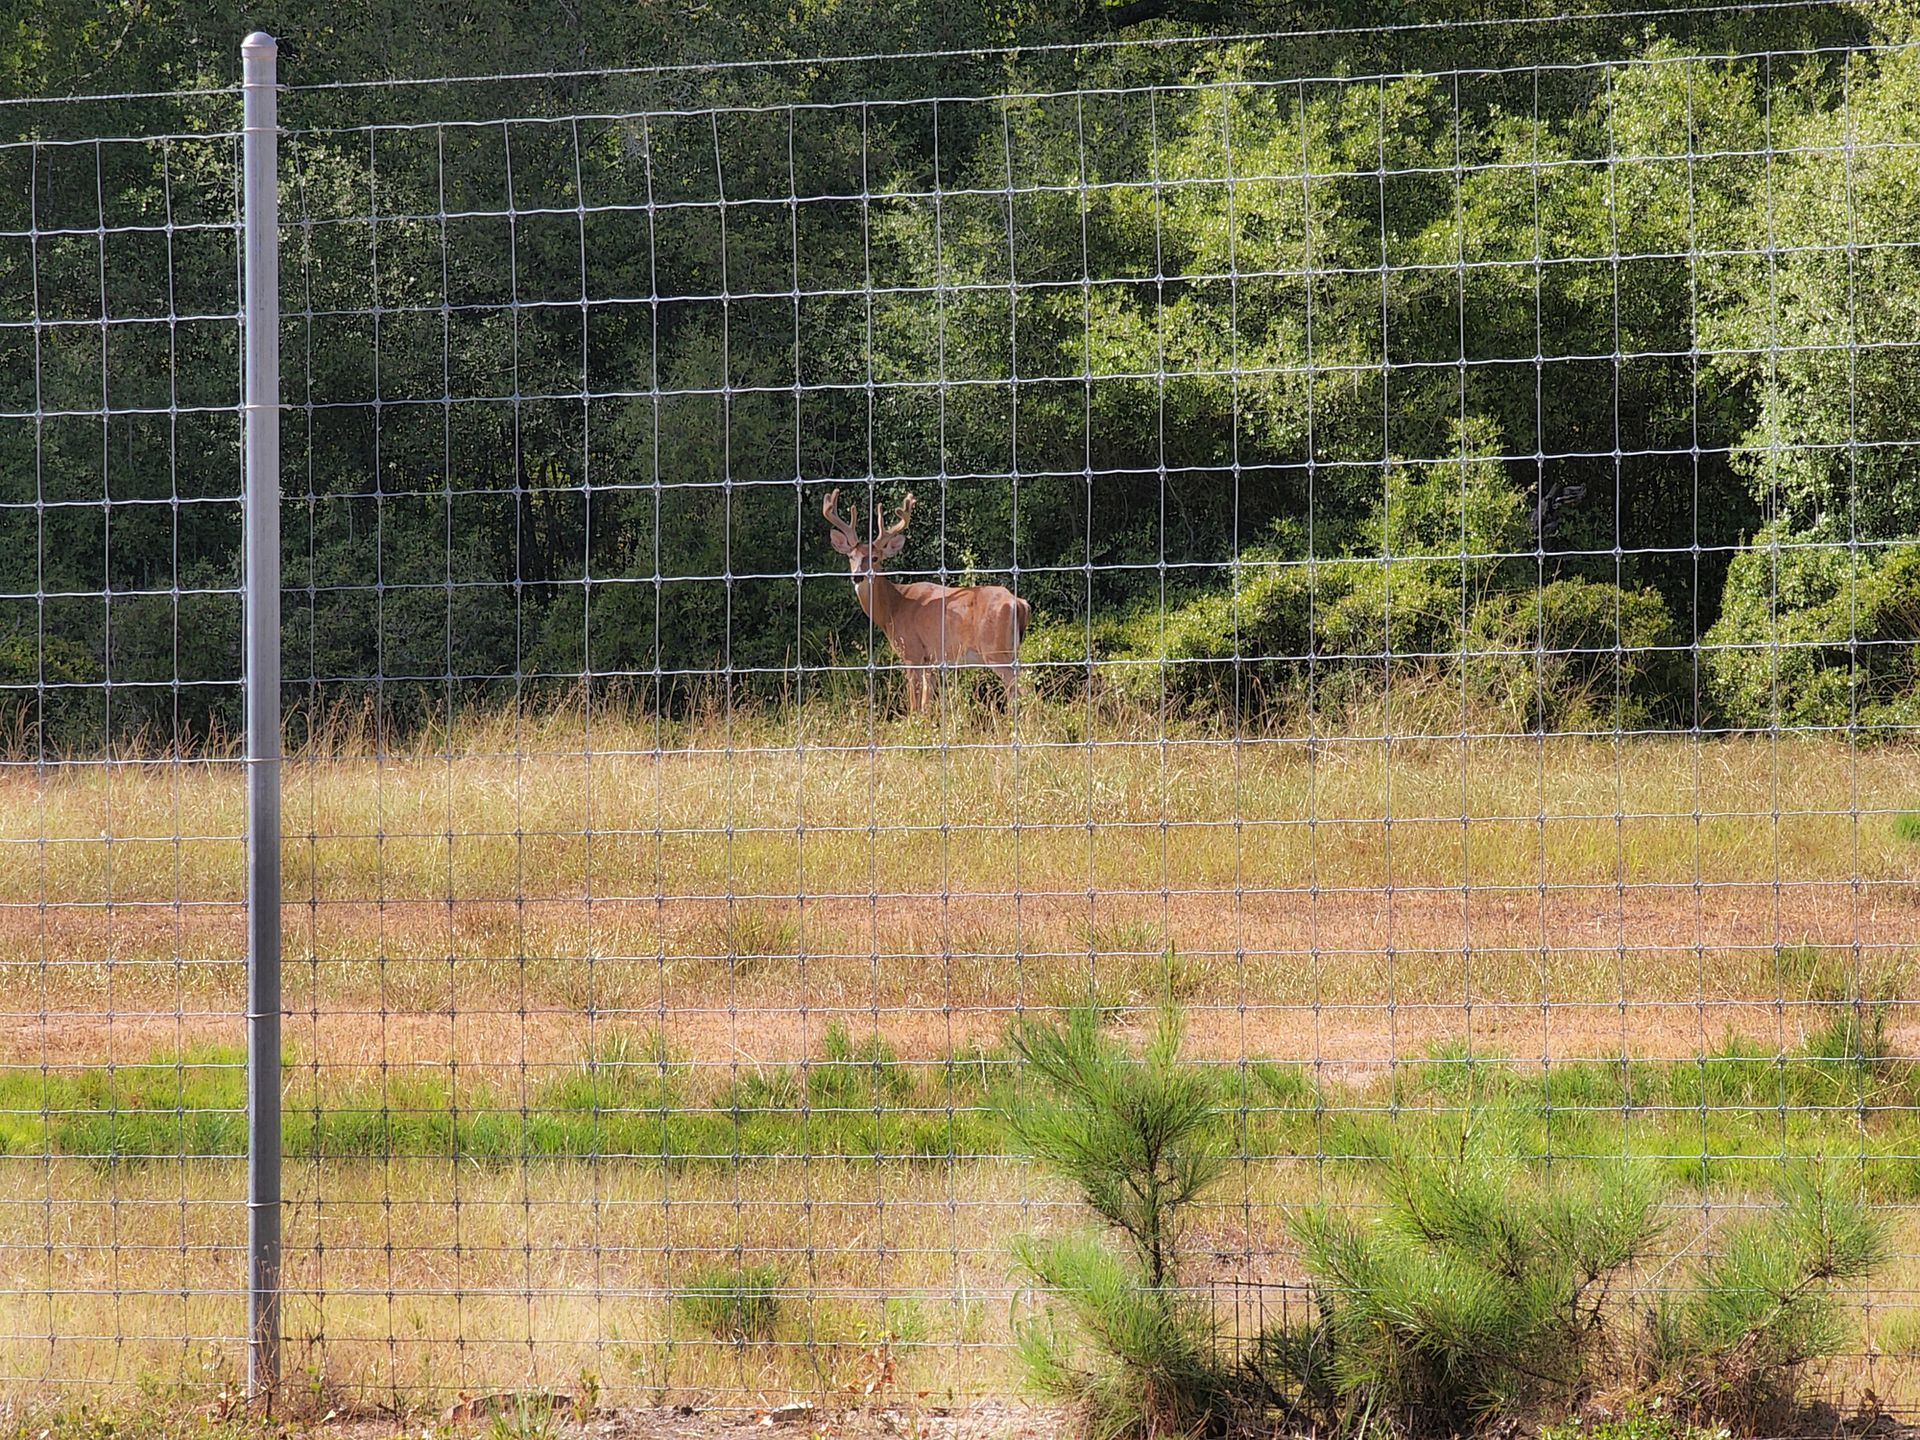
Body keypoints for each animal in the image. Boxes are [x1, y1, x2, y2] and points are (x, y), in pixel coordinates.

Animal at [825, 491, 1036, 718]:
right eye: (851, 556)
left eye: (875, 558)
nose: (857, 577)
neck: (893, 608)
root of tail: (1020, 603)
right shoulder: (931, 659)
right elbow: (927, 703)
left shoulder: (912, 651)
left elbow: (914, 703)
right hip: (1011, 649)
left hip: (995, 650)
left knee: (1024, 686)